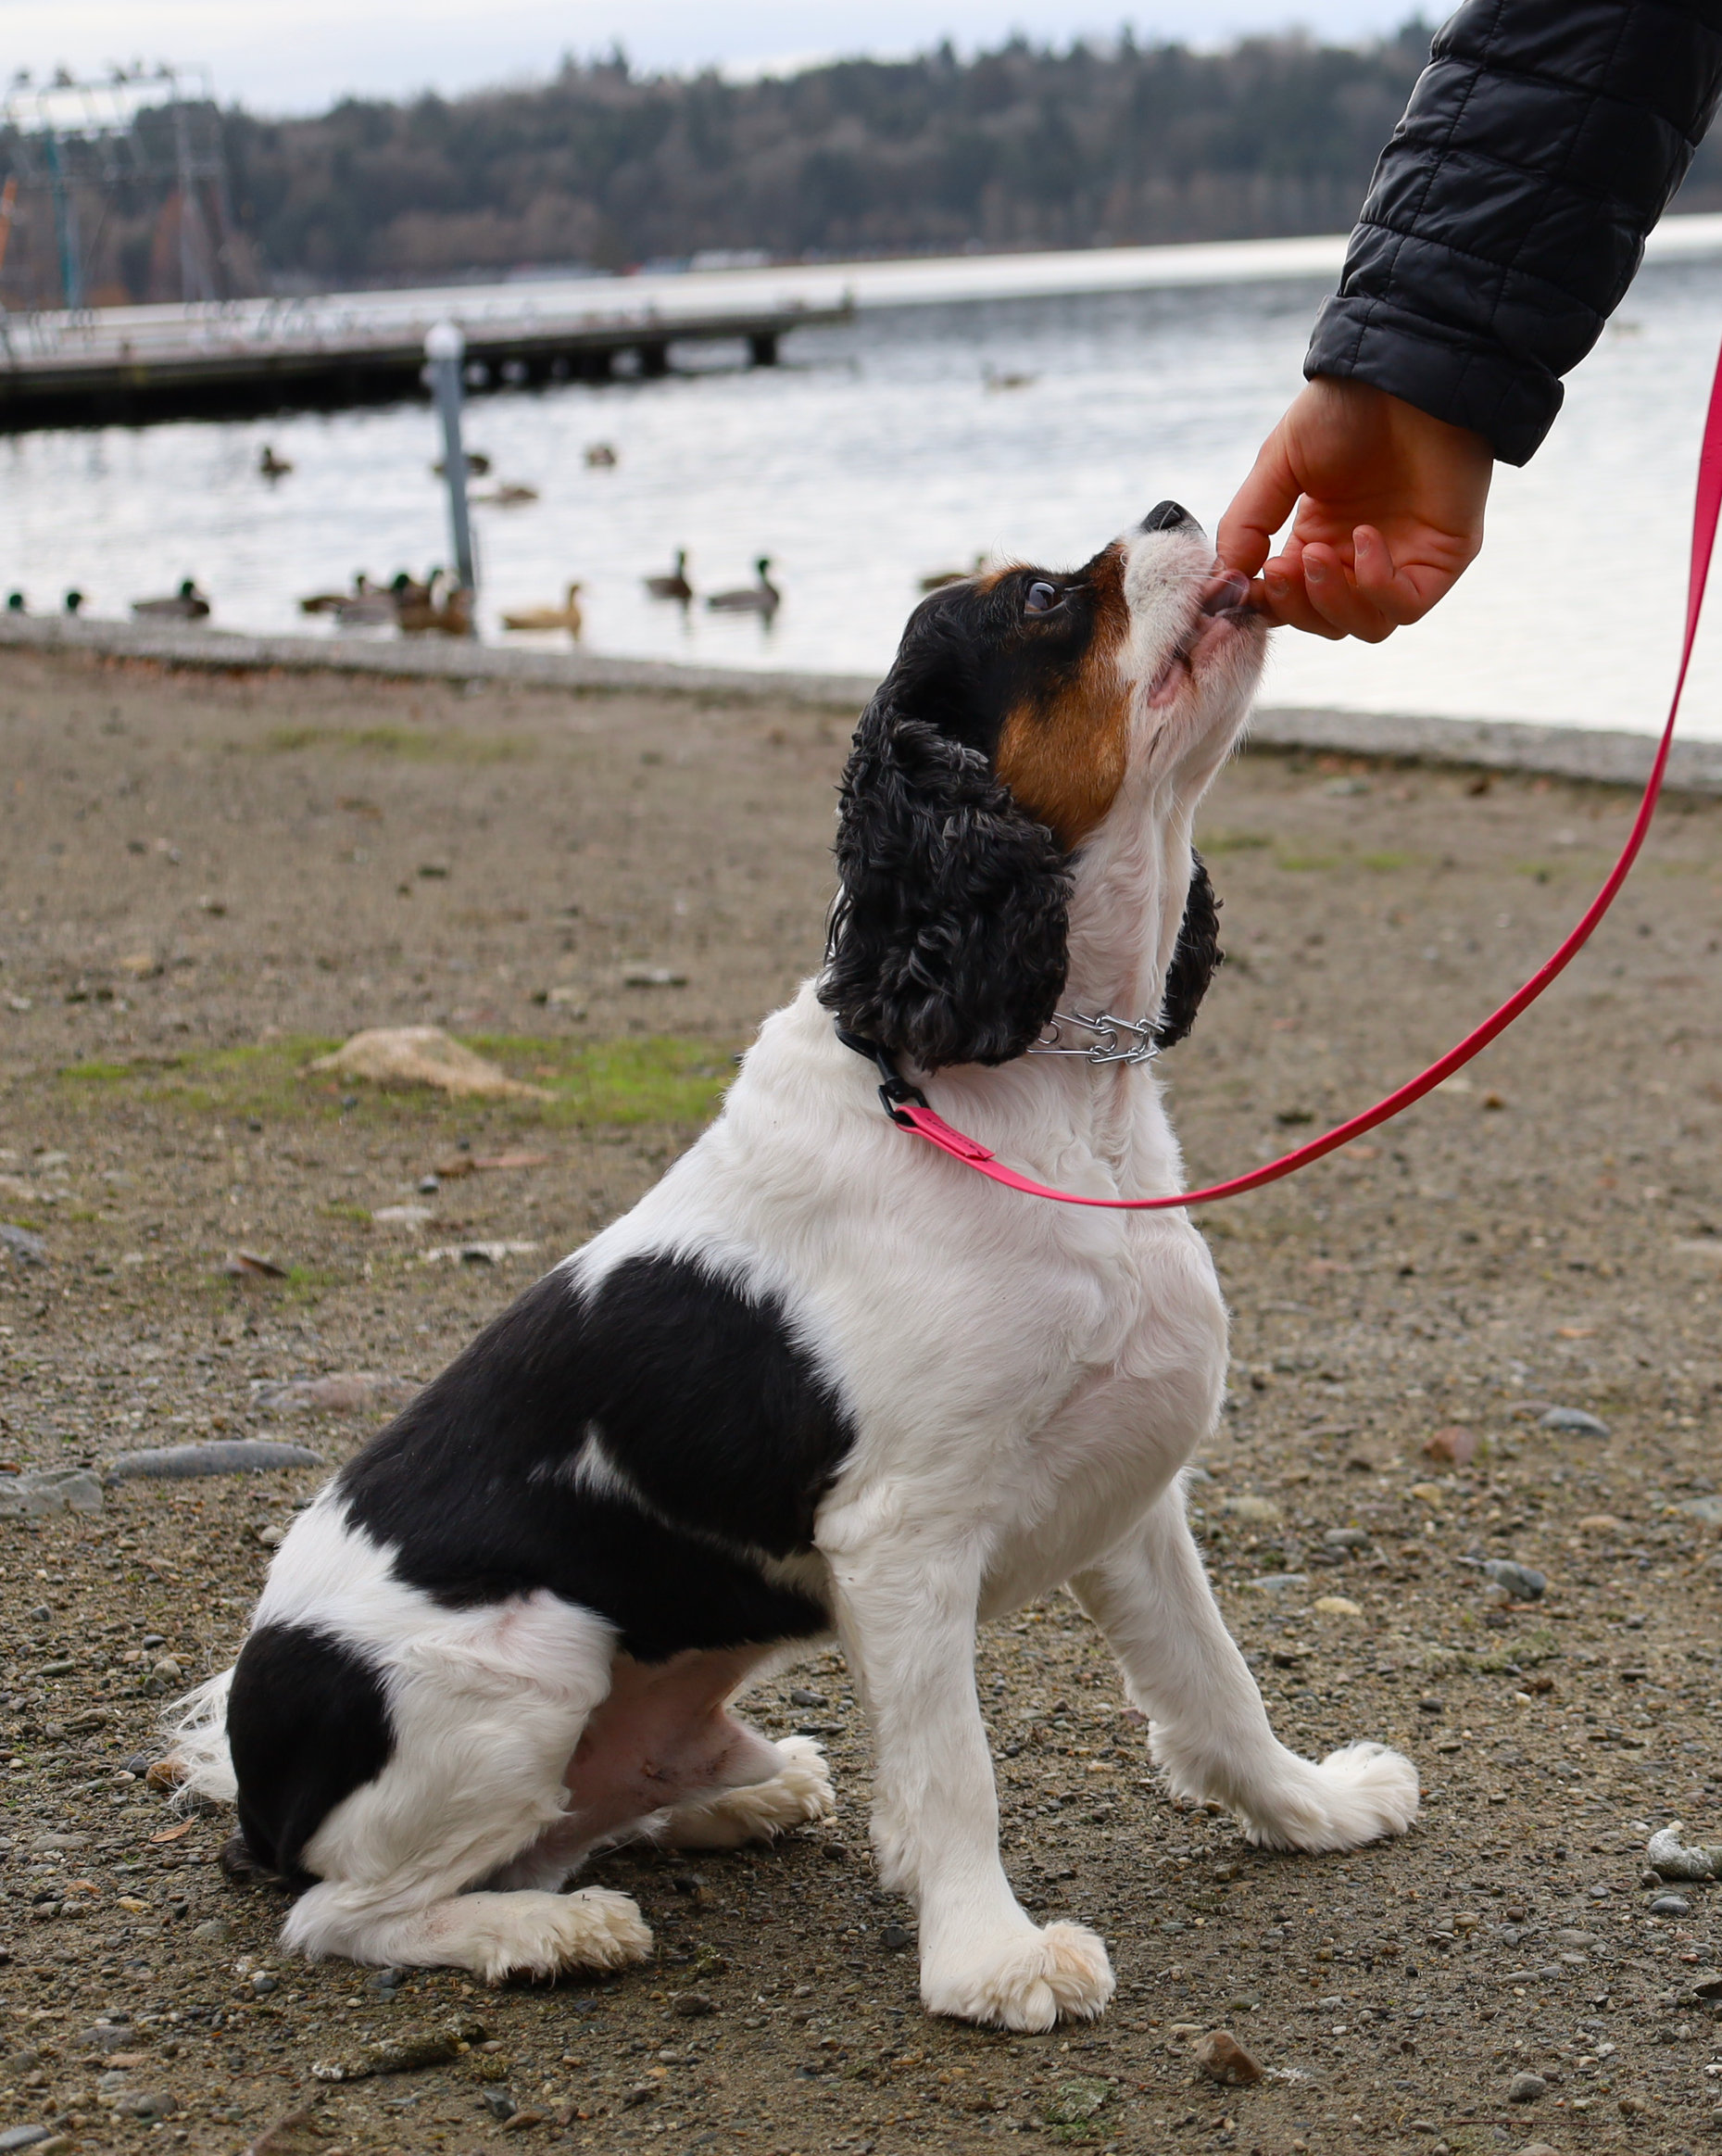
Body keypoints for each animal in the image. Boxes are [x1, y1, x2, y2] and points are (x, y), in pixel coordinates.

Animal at [170, 509, 1414, 2035]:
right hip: (522, 1661)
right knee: (343, 1911)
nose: (1183, 515)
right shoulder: (903, 1539)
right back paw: (553, 1928)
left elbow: (1214, 1681)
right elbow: (955, 1771)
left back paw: (742, 1790)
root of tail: (255, 1767)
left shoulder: (1129, 1496)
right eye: (1045, 599)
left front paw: (1310, 1805)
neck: (1038, 1088)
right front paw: (989, 1959)